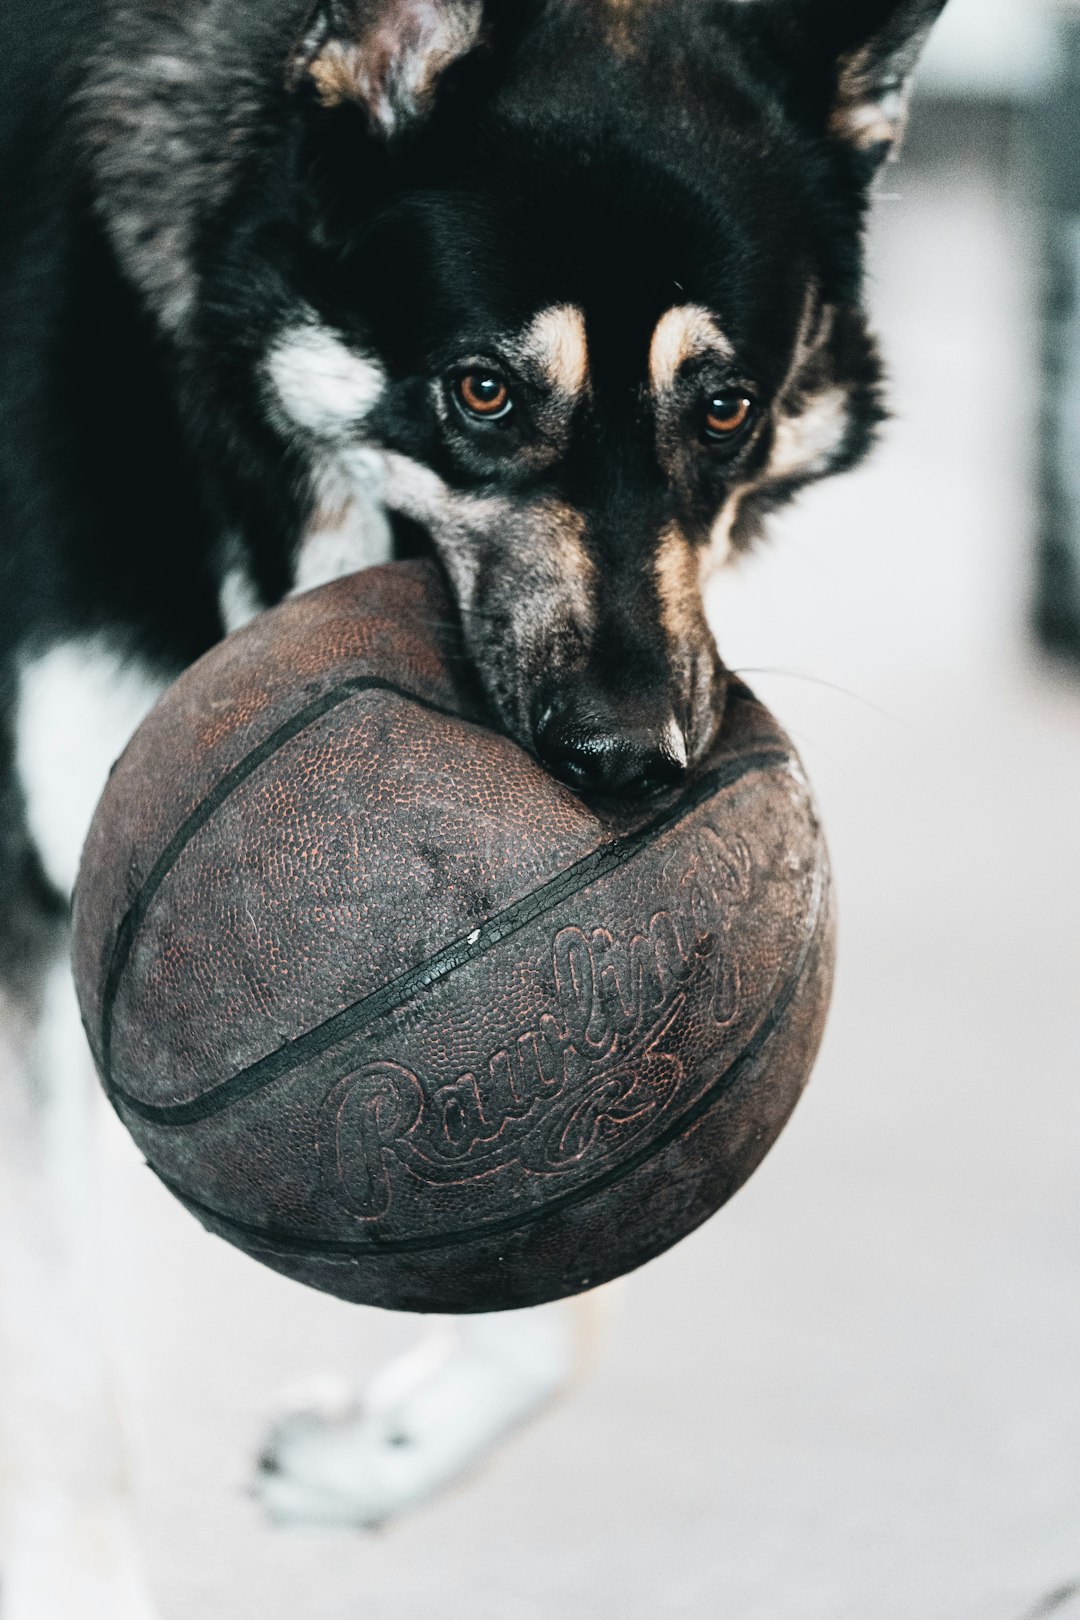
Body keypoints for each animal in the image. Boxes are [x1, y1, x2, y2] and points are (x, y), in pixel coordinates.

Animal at [0, 0, 945, 1607]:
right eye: (485, 390)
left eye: (726, 408)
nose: (633, 761)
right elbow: (61, 1396)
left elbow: (551, 1270)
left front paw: (380, 1459)